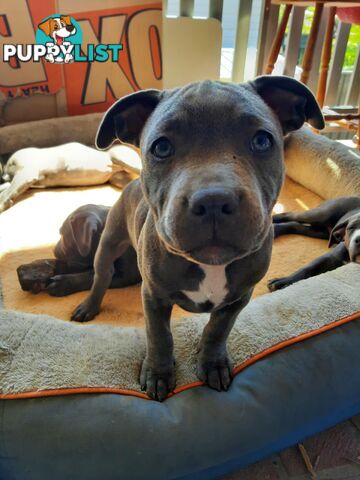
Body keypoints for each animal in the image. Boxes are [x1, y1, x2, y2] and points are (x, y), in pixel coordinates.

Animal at [70, 78, 324, 402]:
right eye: (161, 147)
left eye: (262, 141)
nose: (214, 200)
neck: (211, 265)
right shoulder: (153, 295)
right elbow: (159, 336)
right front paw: (159, 373)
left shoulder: (239, 297)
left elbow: (218, 329)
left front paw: (212, 362)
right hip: (109, 243)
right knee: (101, 276)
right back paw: (88, 306)